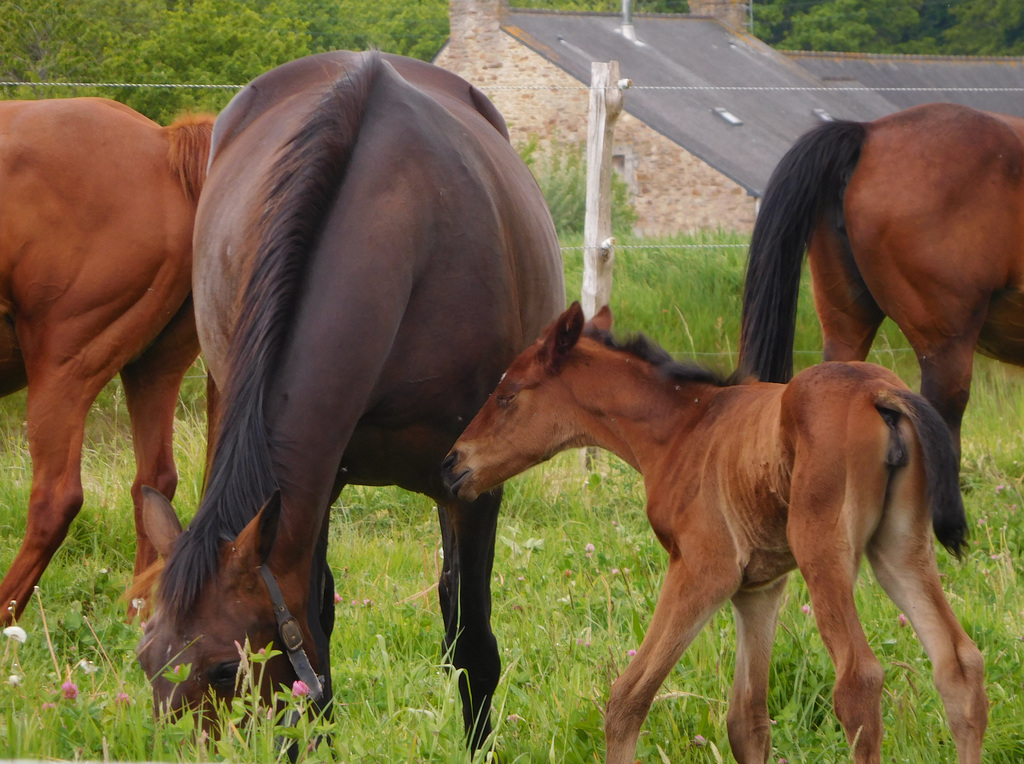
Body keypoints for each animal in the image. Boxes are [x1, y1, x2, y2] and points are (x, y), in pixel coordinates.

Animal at [131, 50, 565, 745]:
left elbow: (472, 647)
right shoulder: (312, 490)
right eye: (147, 657)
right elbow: (313, 655)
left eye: (225, 669)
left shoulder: (473, 488)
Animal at [444, 301, 987, 761]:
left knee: (859, 681)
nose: (452, 463)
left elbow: (626, 698)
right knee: (959, 666)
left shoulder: (704, 569)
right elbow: (746, 720)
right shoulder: (760, 589)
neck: (684, 428)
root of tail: (881, 392)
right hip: (899, 549)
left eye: (507, 395)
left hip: (823, 550)